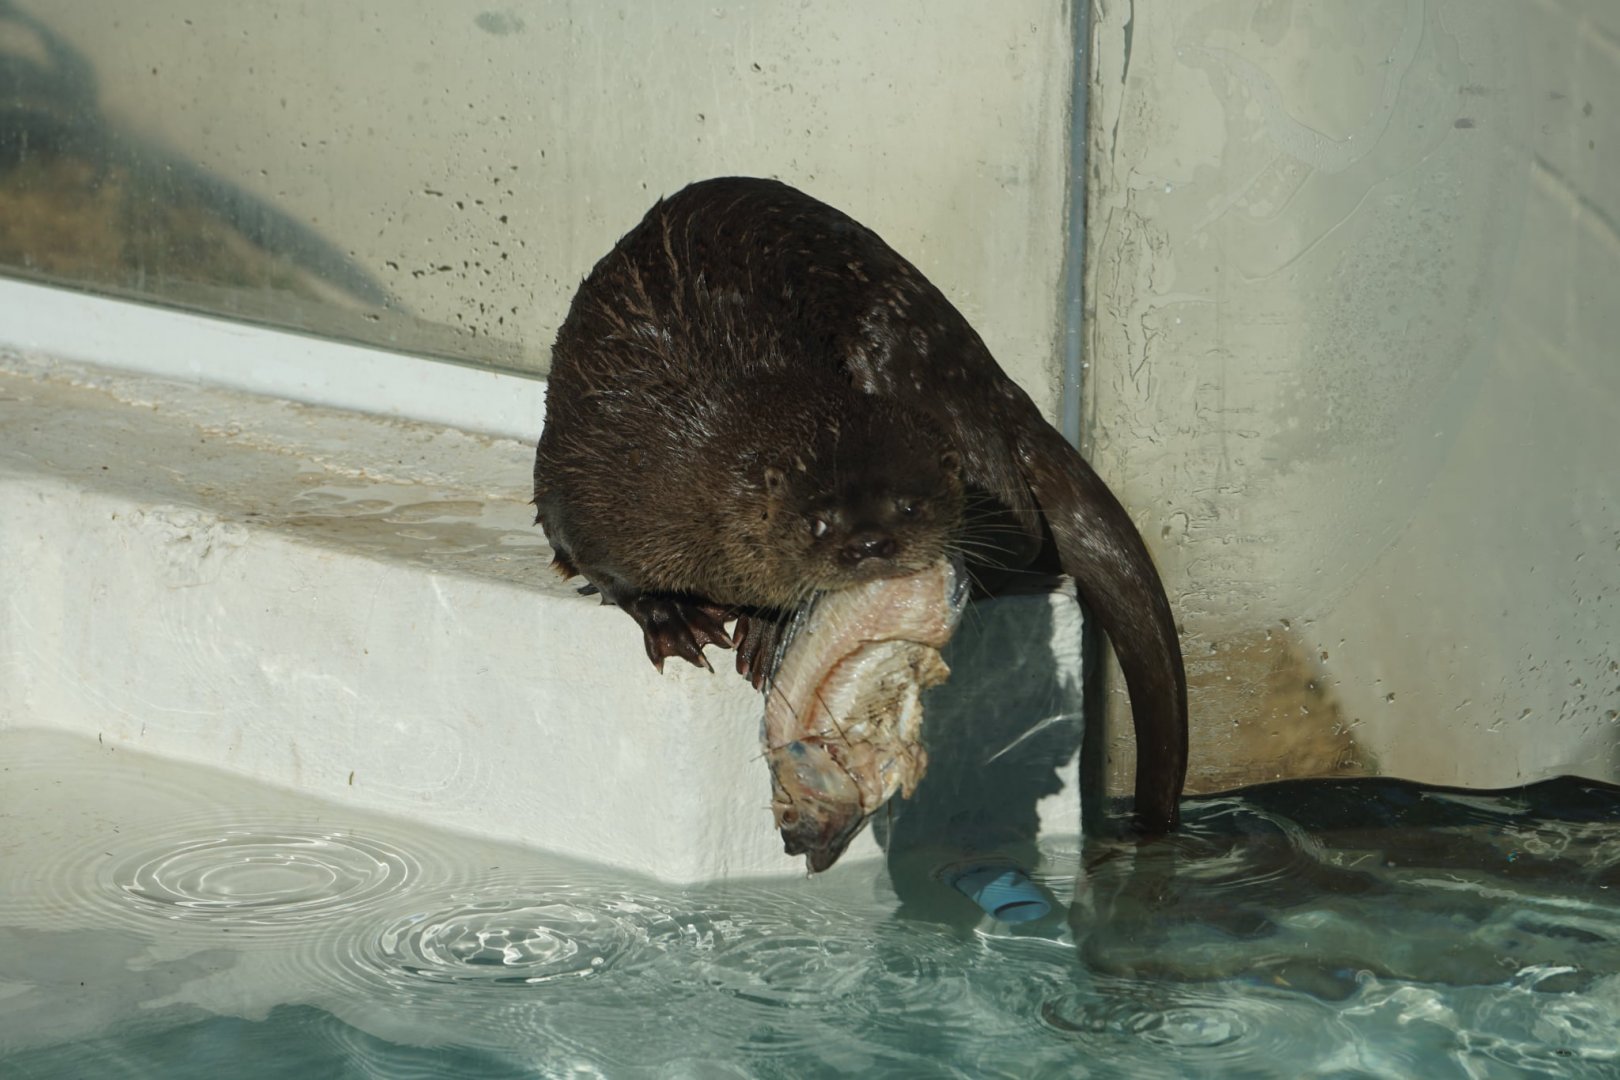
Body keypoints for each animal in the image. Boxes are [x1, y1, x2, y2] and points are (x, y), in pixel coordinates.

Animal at [534, 177, 1187, 834]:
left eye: (911, 507)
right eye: (817, 523)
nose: (871, 544)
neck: (684, 441)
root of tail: (991, 378)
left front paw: (768, 628)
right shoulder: (583, 476)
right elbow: (587, 556)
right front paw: (670, 614)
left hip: (914, 360)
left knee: (1019, 532)